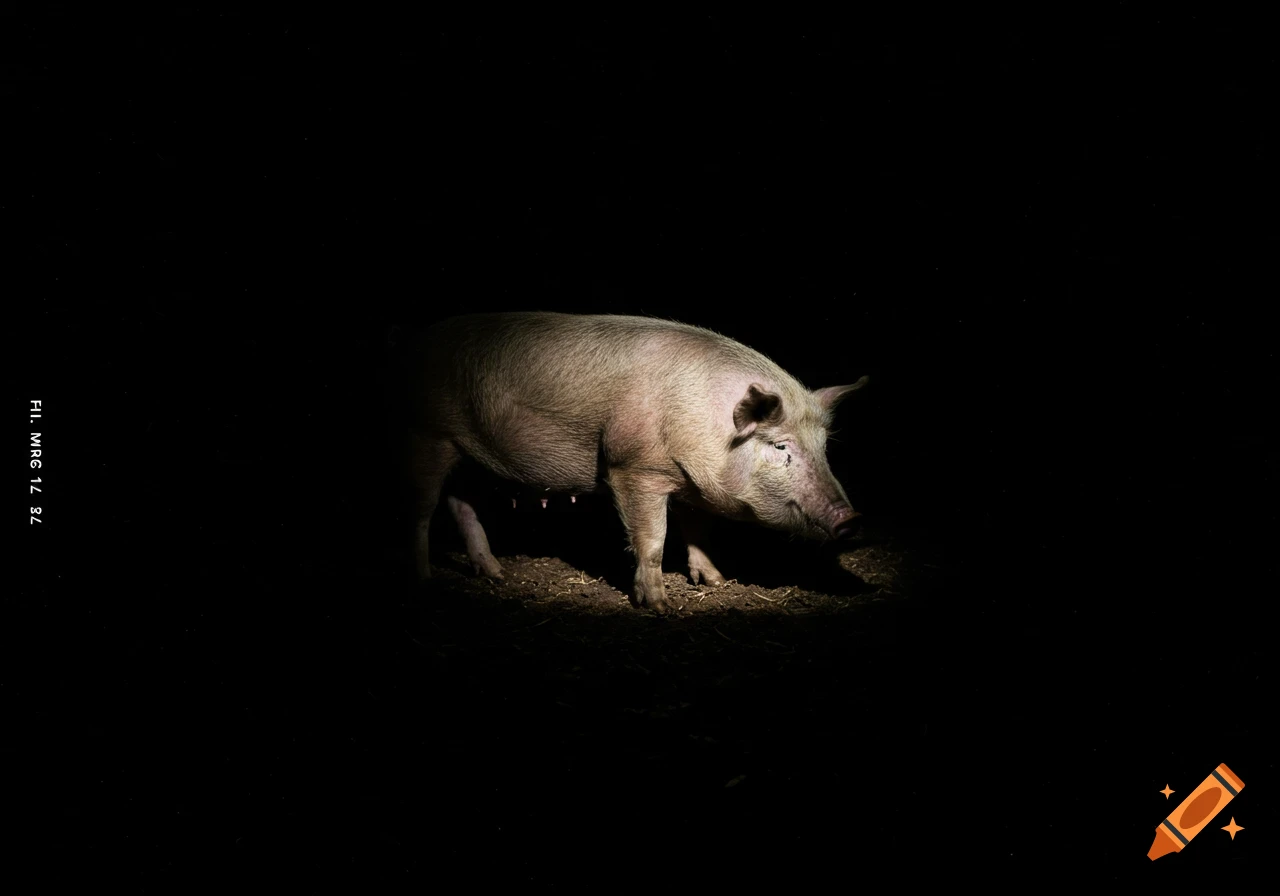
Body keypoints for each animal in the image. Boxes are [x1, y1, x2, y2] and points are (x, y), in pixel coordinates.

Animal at [399, 312, 868, 614]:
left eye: (824, 447)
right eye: (780, 446)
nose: (852, 519)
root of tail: (416, 345)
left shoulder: (693, 483)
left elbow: (697, 532)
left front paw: (716, 581)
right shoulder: (634, 468)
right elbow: (653, 539)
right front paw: (660, 607)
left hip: (472, 457)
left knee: (462, 505)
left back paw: (494, 575)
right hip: (427, 435)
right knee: (421, 511)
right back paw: (424, 581)